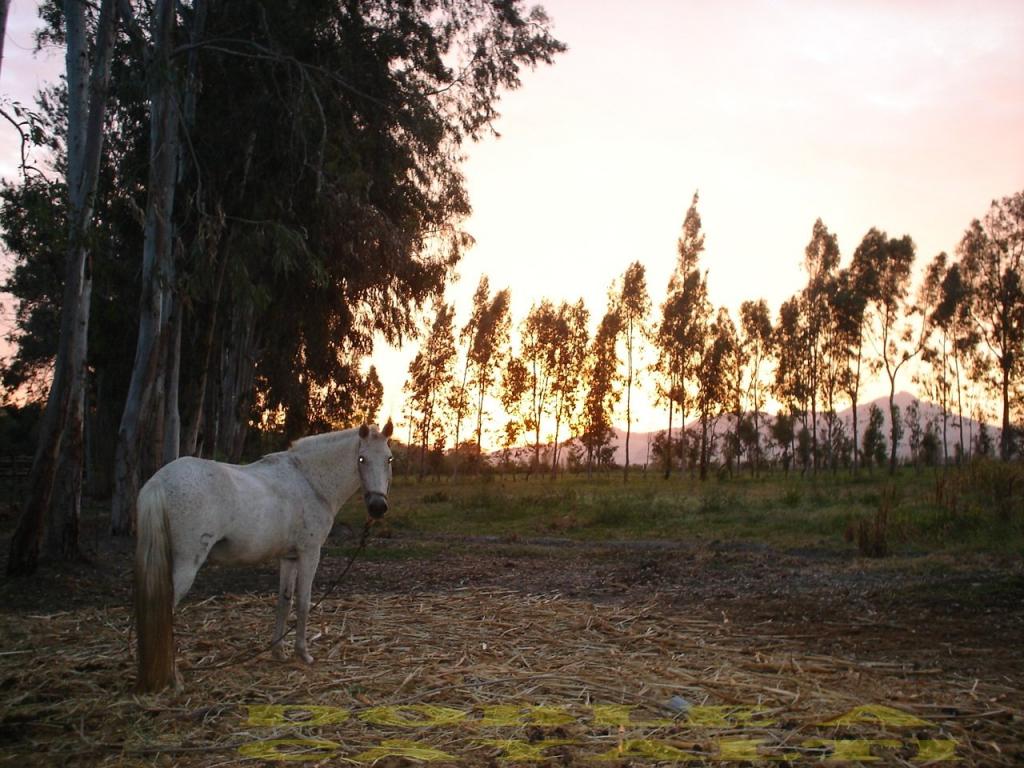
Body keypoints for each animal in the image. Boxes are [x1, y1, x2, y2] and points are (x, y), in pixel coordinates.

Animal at [136, 423, 391, 696]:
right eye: (362, 459)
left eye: (389, 459)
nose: (378, 507)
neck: (310, 481)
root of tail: (158, 482)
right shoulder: (309, 553)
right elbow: (303, 602)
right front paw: (304, 654)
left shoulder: (288, 558)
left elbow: (284, 601)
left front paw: (278, 652)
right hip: (185, 566)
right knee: (166, 614)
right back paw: (173, 678)